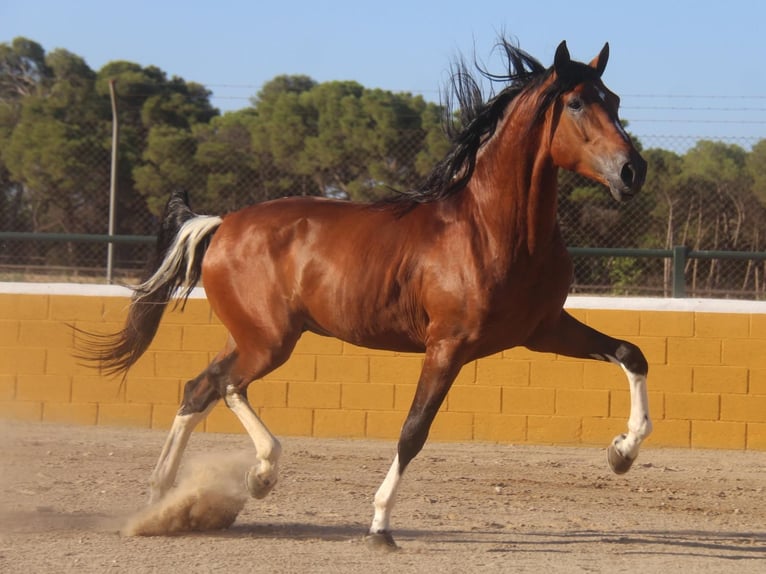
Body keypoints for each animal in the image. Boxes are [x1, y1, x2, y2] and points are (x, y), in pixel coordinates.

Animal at [85, 38, 656, 552]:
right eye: (577, 102)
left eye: (615, 100)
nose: (633, 171)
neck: (493, 229)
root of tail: (222, 224)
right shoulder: (448, 345)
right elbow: (413, 431)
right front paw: (380, 527)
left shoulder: (544, 330)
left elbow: (633, 354)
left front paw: (622, 453)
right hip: (269, 341)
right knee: (227, 387)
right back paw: (257, 476)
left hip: (251, 337)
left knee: (200, 387)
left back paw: (162, 498)